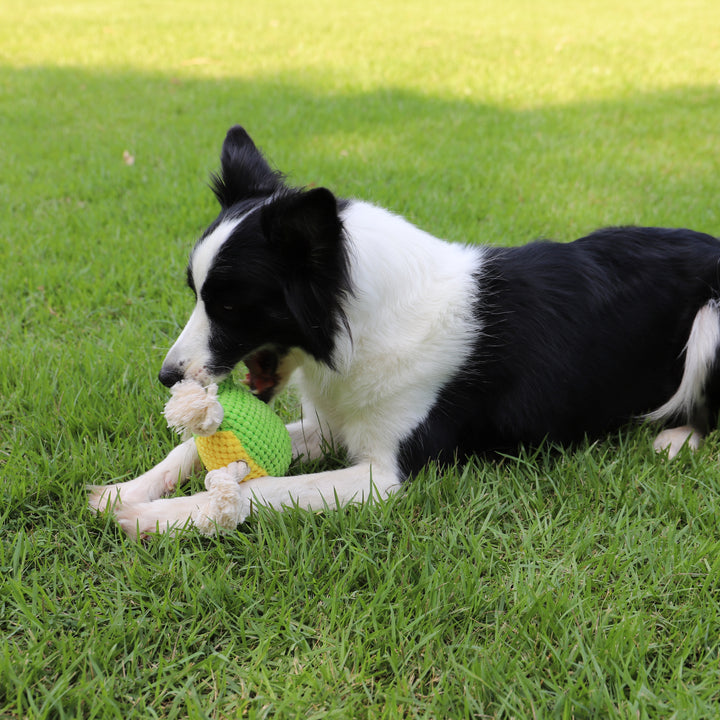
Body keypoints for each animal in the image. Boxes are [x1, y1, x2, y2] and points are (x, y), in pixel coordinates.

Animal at [90, 126, 720, 536]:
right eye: (195, 294)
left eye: (229, 304)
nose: (168, 377)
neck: (364, 322)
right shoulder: (334, 425)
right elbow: (194, 452)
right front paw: (127, 491)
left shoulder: (387, 473)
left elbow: (257, 489)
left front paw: (157, 517)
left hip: (710, 320)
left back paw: (676, 438)